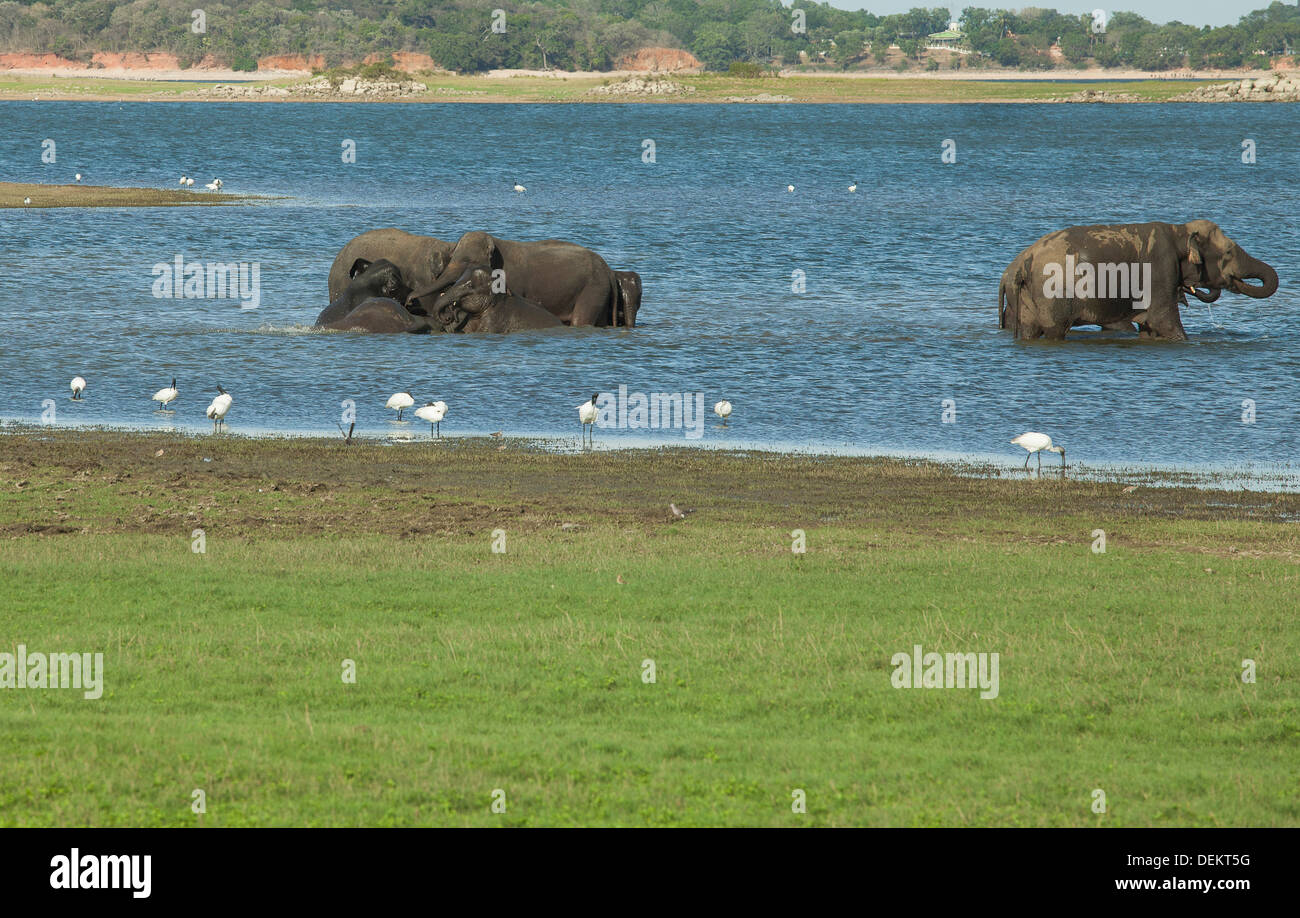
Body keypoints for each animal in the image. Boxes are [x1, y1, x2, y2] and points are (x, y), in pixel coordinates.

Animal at [998, 218, 1274, 340]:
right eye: (1228, 253)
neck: (1179, 230)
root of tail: (1019, 264)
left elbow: (1150, 326)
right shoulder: (1160, 268)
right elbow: (1164, 322)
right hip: (1051, 293)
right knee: (1055, 330)